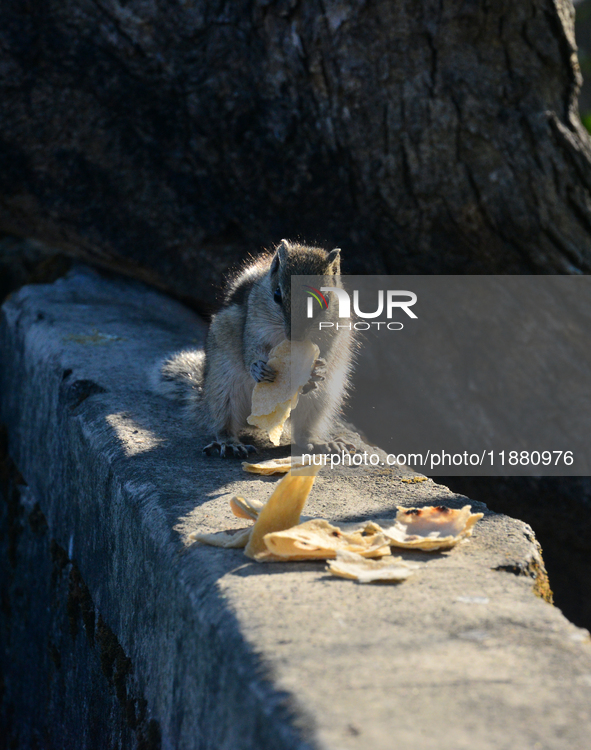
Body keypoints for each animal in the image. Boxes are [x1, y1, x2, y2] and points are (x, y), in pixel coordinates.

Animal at [154, 241, 356, 458]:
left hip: (322, 400)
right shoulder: (253, 326)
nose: (295, 336)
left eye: (326, 299)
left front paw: (318, 370)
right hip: (223, 388)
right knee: (223, 424)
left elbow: (328, 352)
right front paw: (257, 368)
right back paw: (230, 444)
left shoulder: (336, 333)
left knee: (304, 432)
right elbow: (250, 349)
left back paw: (320, 443)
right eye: (277, 294)